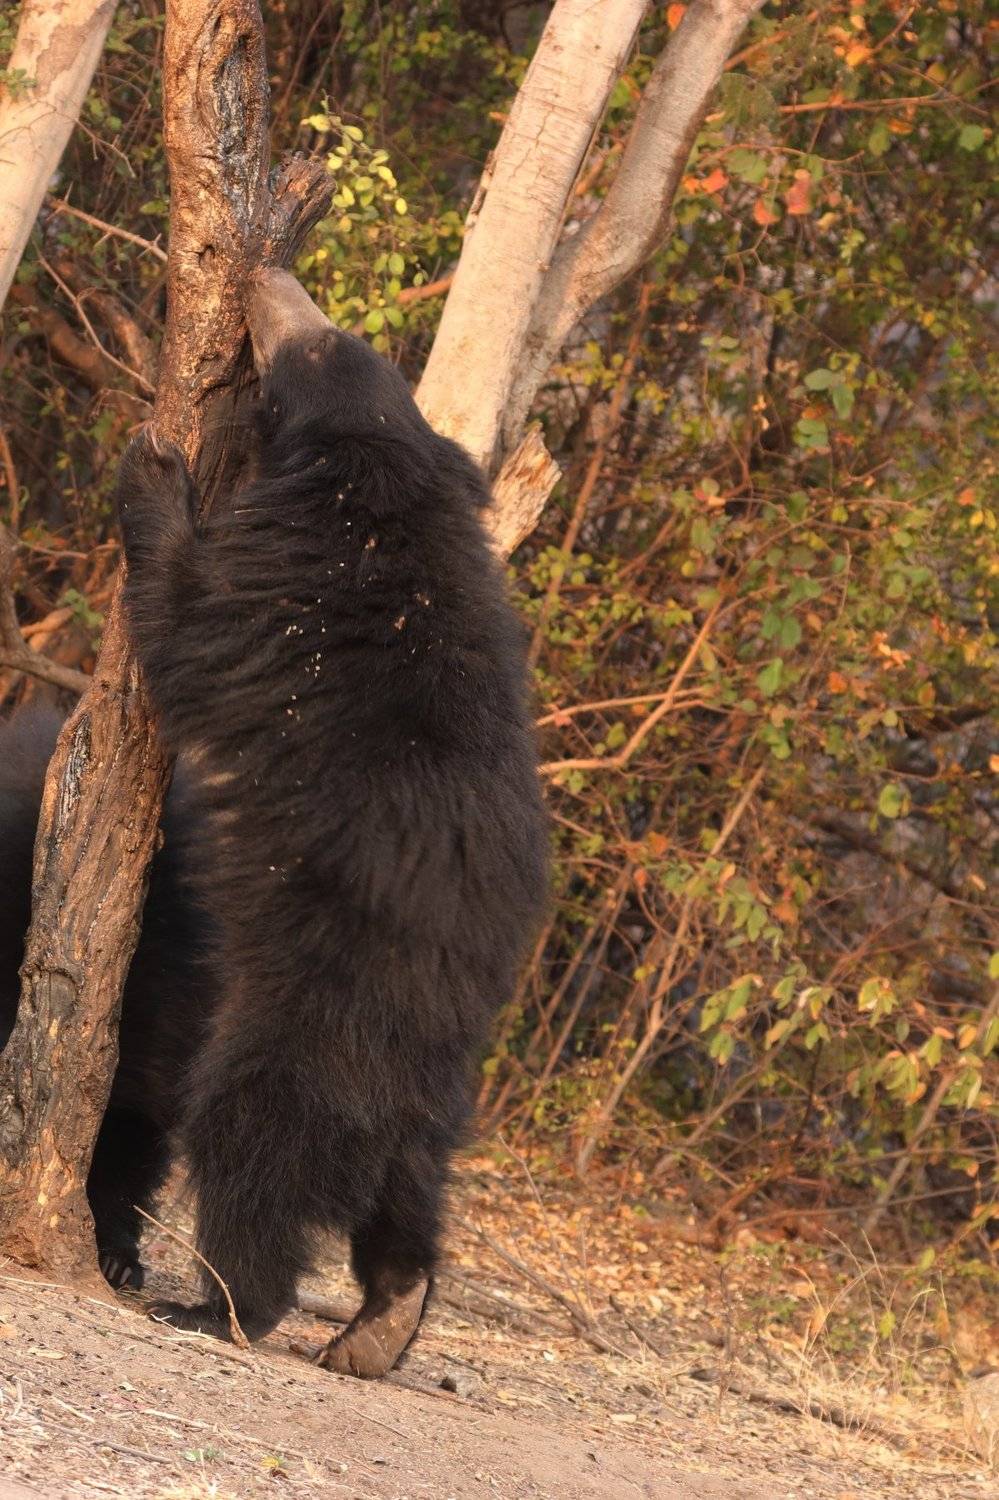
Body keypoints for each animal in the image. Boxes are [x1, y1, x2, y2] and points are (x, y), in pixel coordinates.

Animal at [113, 267, 547, 1376]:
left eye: (308, 347)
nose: (266, 273)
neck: (391, 489)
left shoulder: (290, 609)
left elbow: (190, 627)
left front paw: (155, 463)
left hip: (302, 1028)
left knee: (252, 1154)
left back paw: (216, 1306)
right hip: (432, 1102)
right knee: (405, 1208)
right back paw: (381, 1323)